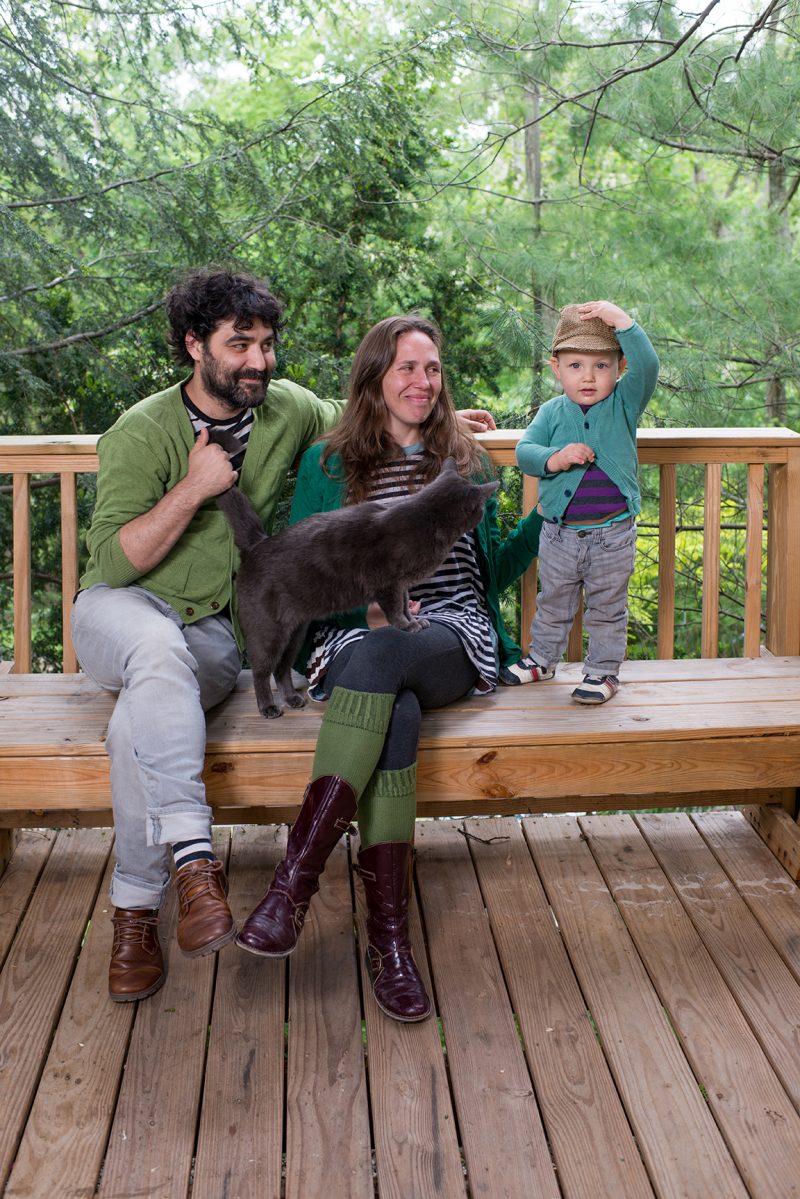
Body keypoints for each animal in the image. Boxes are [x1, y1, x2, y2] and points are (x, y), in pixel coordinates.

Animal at [215, 455, 496, 719]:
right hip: (268, 628)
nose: (483, 514)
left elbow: (405, 605)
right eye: (480, 509)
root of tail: (257, 545)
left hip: (295, 631)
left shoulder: (402, 584)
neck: (427, 518)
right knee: (262, 669)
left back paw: (292, 699)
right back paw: (268, 707)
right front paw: (407, 626)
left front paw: (415, 620)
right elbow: (395, 609)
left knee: (281, 668)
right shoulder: (387, 583)